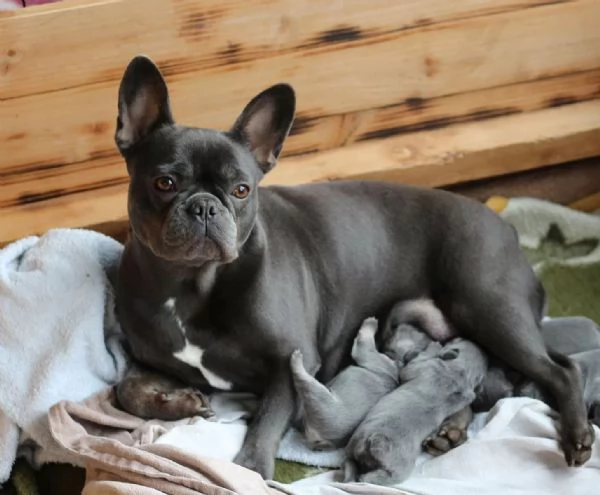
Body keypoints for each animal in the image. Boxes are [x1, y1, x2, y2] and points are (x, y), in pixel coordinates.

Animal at [342, 340, 488, 486]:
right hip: (354, 449)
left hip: (388, 465)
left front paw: (434, 346)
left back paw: (364, 478)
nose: (462, 338)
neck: (463, 374)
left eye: (456, 341)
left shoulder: (424, 367)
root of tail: (376, 444)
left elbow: (410, 367)